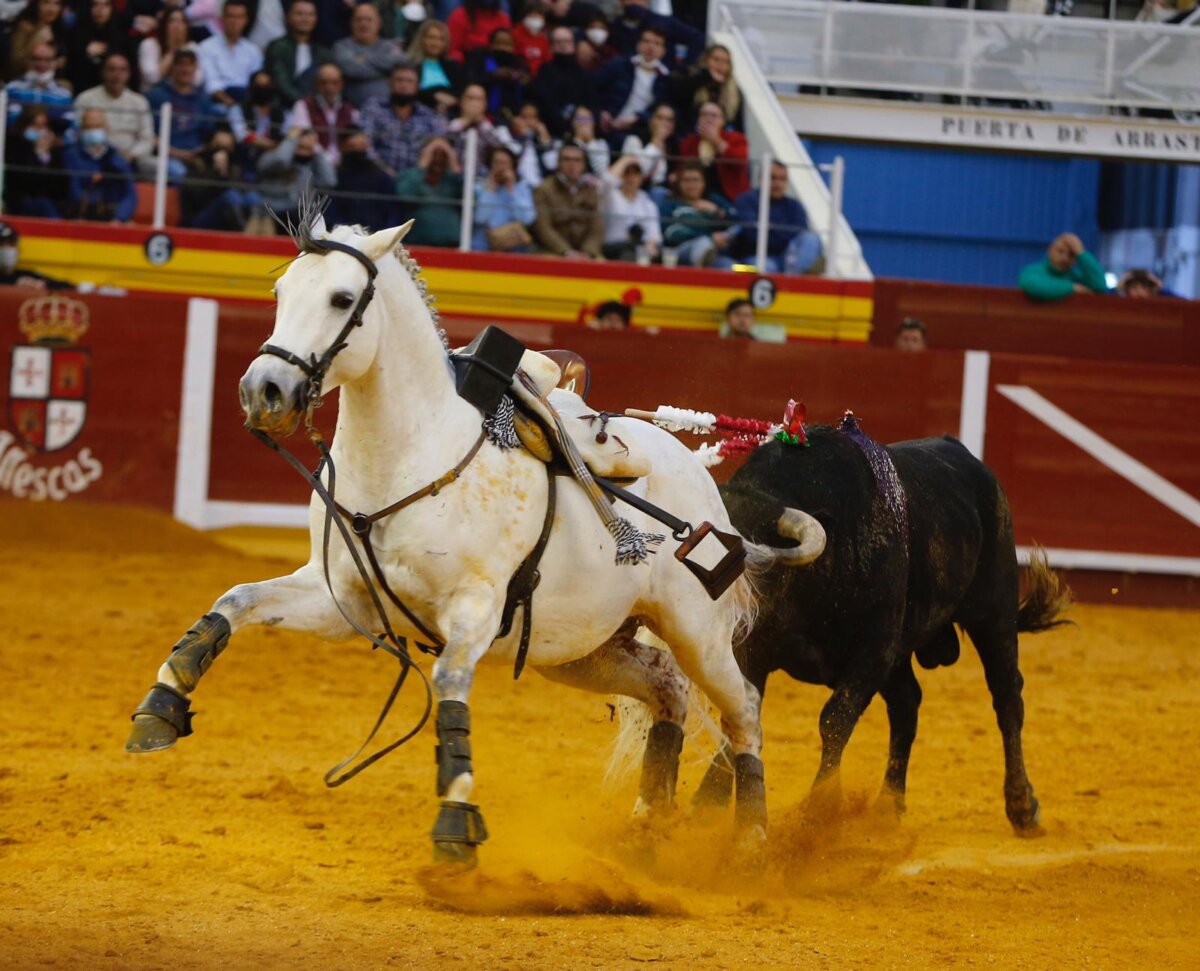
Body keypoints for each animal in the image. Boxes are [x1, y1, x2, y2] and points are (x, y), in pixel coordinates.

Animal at [123, 211, 825, 864]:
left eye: (343, 299)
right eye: (281, 291)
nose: (263, 390)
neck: (405, 460)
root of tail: (701, 481)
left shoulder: (475, 610)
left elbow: (450, 686)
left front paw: (456, 825)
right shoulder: (343, 600)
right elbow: (235, 599)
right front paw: (160, 706)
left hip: (696, 630)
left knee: (743, 712)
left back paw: (750, 842)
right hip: (582, 650)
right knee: (668, 692)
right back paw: (646, 828)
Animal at [692, 414, 1071, 836]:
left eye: (755, 558)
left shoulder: (873, 652)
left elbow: (834, 719)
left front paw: (817, 811)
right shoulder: (754, 648)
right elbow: (739, 711)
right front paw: (708, 802)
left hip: (993, 611)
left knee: (1007, 698)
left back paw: (1022, 806)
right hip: (905, 654)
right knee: (907, 704)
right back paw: (889, 808)